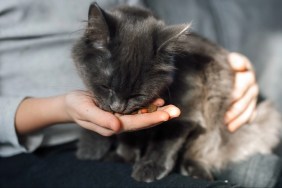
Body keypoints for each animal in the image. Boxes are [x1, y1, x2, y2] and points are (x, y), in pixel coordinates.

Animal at [71, 1, 282, 184]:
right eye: (106, 87)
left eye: (137, 95)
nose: (117, 106)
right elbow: (128, 135)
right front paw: (125, 156)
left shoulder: (187, 112)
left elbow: (165, 141)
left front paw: (149, 167)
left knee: (200, 149)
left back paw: (197, 171)